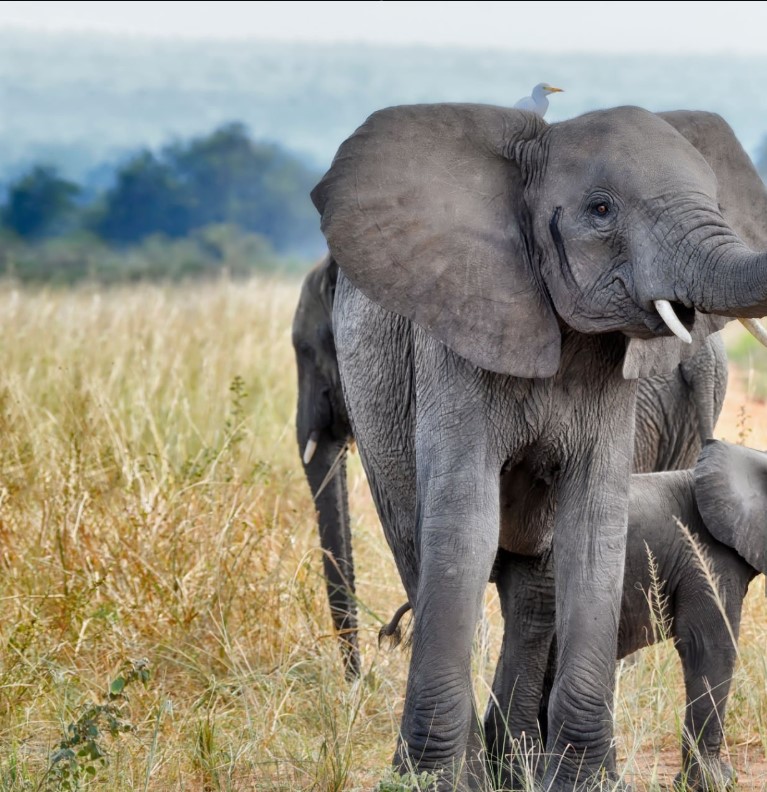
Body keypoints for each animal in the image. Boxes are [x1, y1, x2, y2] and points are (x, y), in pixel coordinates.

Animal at [311, 102, 767, 790]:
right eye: (601, 209)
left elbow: (592, 526)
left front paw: (586, 782)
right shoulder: (457, 336)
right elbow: (464, 525)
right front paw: (432, 782)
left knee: (536, 584)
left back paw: (516, 765)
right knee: (419, 548)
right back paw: (487, 770)